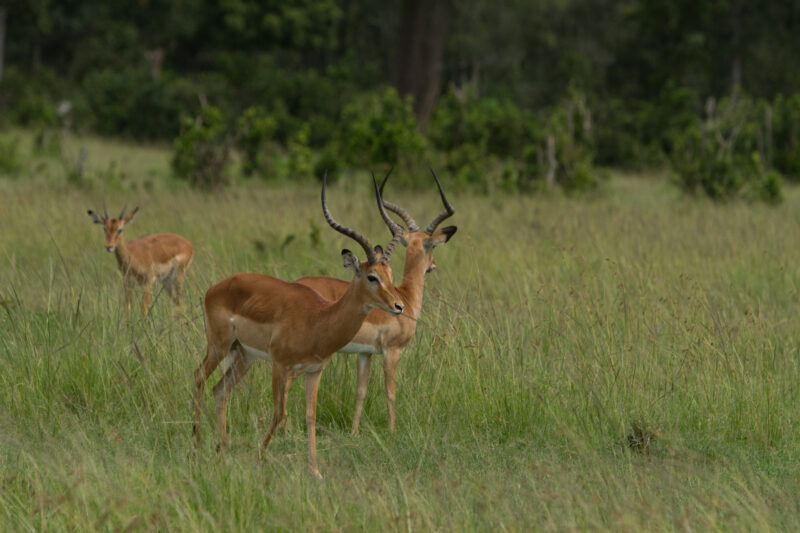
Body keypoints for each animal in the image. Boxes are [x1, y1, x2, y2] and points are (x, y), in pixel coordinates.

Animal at [192, 175, 405, 480]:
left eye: (390, 274)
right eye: (372, 276)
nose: (399, 306)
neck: (317, 321)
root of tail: (217, 286)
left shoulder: (314, 371)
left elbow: (310, 416)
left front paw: (315, 471)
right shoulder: (280, 365)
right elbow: (279, 412)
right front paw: (260, 456)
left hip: (244, 355)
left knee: (220, 390)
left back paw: (223, 451)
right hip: (219, 345)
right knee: (198, 378)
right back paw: (196, 448)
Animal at [294, 169, 456, 434]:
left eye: (389, 274)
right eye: (432, 246)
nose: (433, 265)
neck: (406, 296)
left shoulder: (365, 353)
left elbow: (361, 392)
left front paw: (354, 432)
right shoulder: (391, 351)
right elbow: (390, 392)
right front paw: (392, 431)